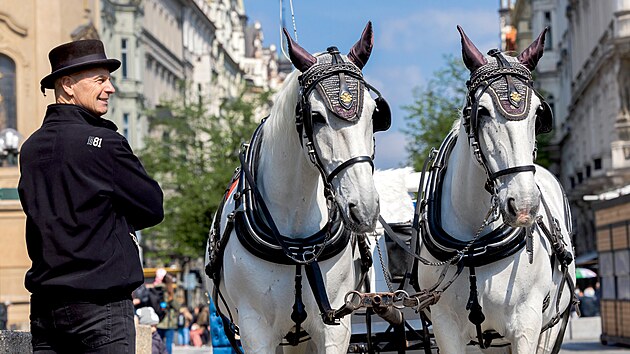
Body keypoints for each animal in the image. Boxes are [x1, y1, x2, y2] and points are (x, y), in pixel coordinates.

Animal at [207, 22, 388, 354]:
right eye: (315, 116)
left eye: (373, 114)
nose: (365, 208)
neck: (297, 245)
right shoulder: (254, 330)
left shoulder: (335, 325)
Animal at [418, 26, 580, 352]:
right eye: (481, 112)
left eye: (539, 114)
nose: (524, 206)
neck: (473, 245)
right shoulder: (445, 327)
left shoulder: (526, 324)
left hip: (551, 328)